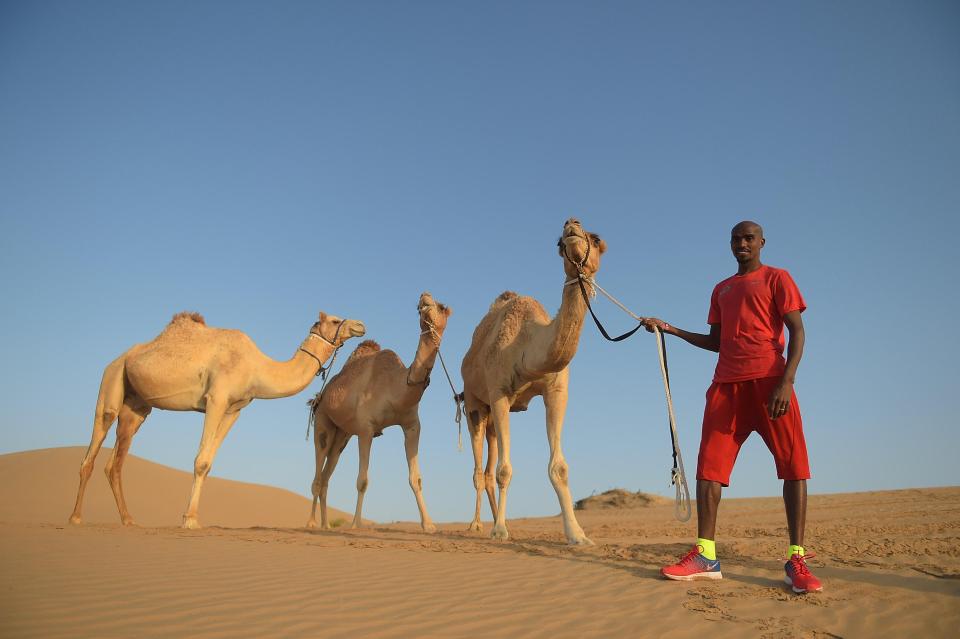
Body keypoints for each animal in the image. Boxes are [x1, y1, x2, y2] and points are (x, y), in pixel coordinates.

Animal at [68, 312, 368, 528]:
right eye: (335, 320)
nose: (360, 325)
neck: (257, 368)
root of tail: (119, 358)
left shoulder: (233, 409)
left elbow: (209, 462)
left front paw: (192, 517)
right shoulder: (216, 399)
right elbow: (201, 461)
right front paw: (189, 520)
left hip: (138, 407)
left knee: (115, 462)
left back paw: (128, 519)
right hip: (112, 380)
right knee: (94, 445)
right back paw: (75, 517)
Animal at [308, 292, 454, 532]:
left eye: (442, 307)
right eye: (420, 306)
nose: (425, 297)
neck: (397, 386)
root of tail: (319, 398)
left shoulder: (412, 425)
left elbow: (416, 478)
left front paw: (429, 524)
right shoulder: (366, 430)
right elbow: (362, 481)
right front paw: (356, 524)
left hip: (343, 434)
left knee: (328, 474)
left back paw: (326, 525)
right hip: (323, 422)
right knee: (319, 472)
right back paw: (311, 523)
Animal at [460, 219, 608, 544]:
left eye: (596, 238)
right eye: (558, 243)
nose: (571, 225)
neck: (528, 344)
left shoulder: (556, 391)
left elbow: (559, 467)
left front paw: (577, 535)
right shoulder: (499, 393)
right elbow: (504, 470)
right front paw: (500, 530)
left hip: (490, 416)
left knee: (487, 469)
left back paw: (493, 521)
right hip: (475, 404)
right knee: (478, 470)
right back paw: (477, 526)